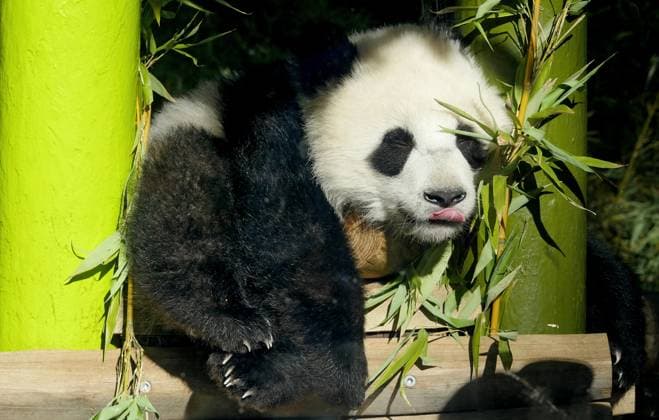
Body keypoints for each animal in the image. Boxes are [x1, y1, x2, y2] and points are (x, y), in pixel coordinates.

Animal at [127, 24, 644, 412]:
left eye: (468, 141)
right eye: (397, 143)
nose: (445, 196)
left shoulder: (488, 221)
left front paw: (620, 352)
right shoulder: (271, 122)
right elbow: (297, 242)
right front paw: (293, 375)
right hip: (188, 133)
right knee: (185, 202)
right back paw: (230, 323)